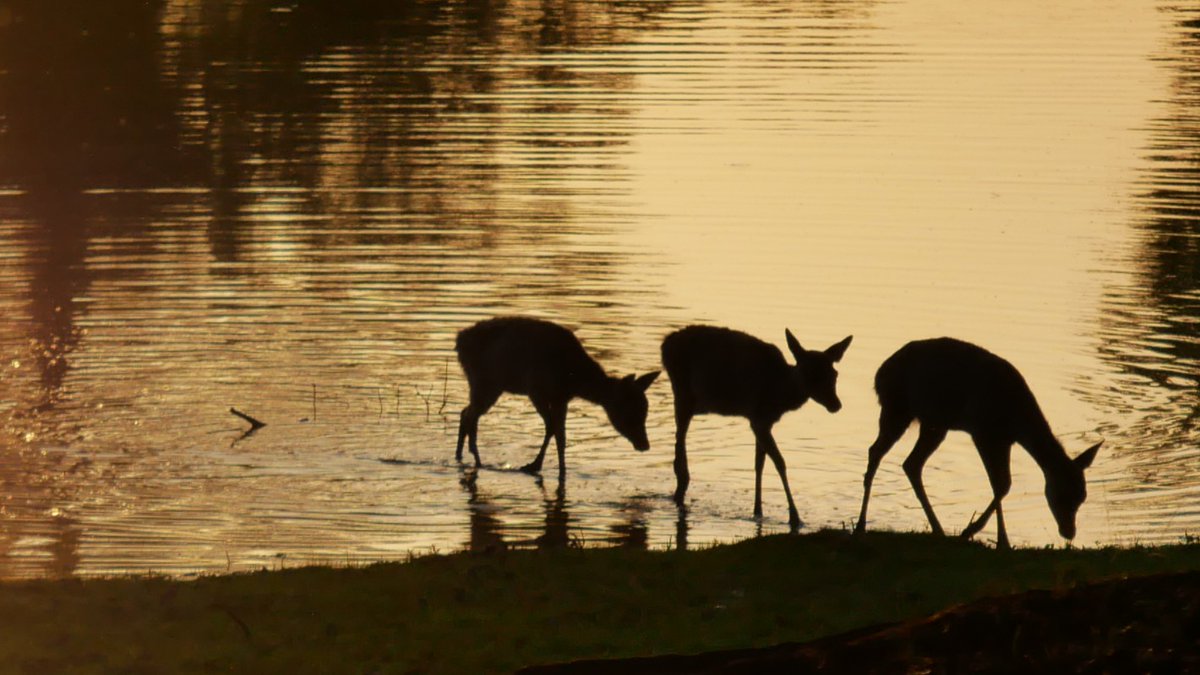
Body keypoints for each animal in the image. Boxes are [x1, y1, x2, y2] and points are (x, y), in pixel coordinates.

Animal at [454, 317, 660, 476]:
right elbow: (552, 428)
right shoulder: (537, 391)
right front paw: (535, 465)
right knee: (470, 415)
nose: (644, 445)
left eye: (645, 411)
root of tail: (459, 341)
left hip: (484, 385)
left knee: (465, 412)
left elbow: (561, 434)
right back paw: (477, 460)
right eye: (628, 411)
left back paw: (460, 455)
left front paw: (556, 468)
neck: (574, 380)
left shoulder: (562, 398)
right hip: (486, 382)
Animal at [661, 325, 853, 527]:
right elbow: (779, 462)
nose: (835, 404)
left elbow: (759, 464)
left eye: (834, 374)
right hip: (683, 392)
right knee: (679, 446)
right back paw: (680, 487)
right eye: (810, 374)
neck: (780, 392)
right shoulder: (759, 421)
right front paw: (795, 517)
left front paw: (758, 511)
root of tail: (665, 345)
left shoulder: (762, 421)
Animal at [854, 337, 1102, 550]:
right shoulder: (982, 431)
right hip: (897, 408)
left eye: (1082, 496)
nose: (1069, 532)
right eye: (1062, 494)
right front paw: (982, 535)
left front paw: (992, 537)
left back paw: (938, 529)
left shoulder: (1004, 439)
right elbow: (1000, 484)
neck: (1016, 419)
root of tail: (879, 374)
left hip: (934, 423)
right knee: (876, 451)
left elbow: (1005, 484)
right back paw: (860, 525)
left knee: (911, 463)